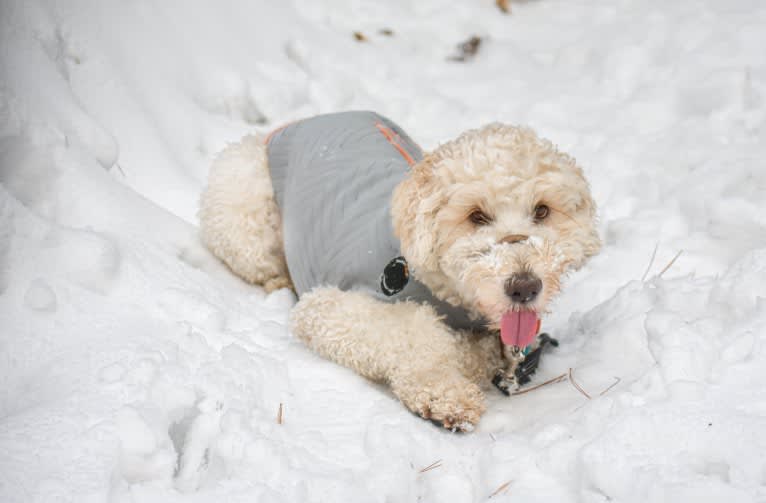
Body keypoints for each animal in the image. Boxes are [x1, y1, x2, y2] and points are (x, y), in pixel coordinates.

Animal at [201, 112, 604, 432]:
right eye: (476, 216)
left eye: (542, 211)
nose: (524, 287)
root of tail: (291, 125)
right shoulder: (328, 306)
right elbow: (414, 332)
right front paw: (444, 389)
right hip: (245, 217)